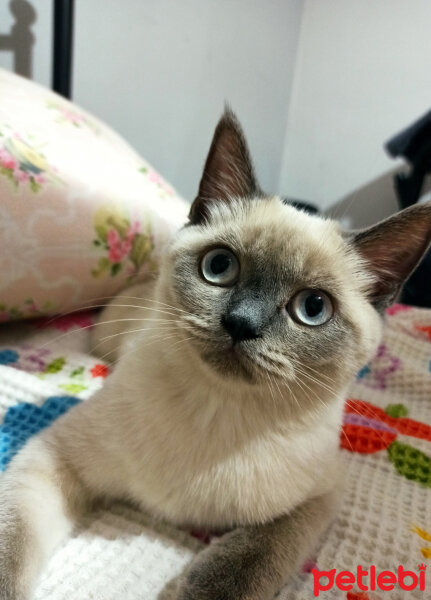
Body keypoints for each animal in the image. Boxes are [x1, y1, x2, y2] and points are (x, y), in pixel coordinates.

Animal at [0, 109, 431, 600]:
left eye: (312, 309)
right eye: (220, 267)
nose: (241, 323)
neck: (218, 410)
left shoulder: (320, 496)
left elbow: (246, 562)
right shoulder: (55, 453)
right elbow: (14, 542)